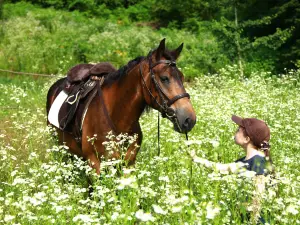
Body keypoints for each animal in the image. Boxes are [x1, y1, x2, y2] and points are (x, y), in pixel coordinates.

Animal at [46, 39, 197, 174]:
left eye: (182, 77)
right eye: (164, 78)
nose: (189, 119)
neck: (117, 116)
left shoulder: (128, 164)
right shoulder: (95, 164)